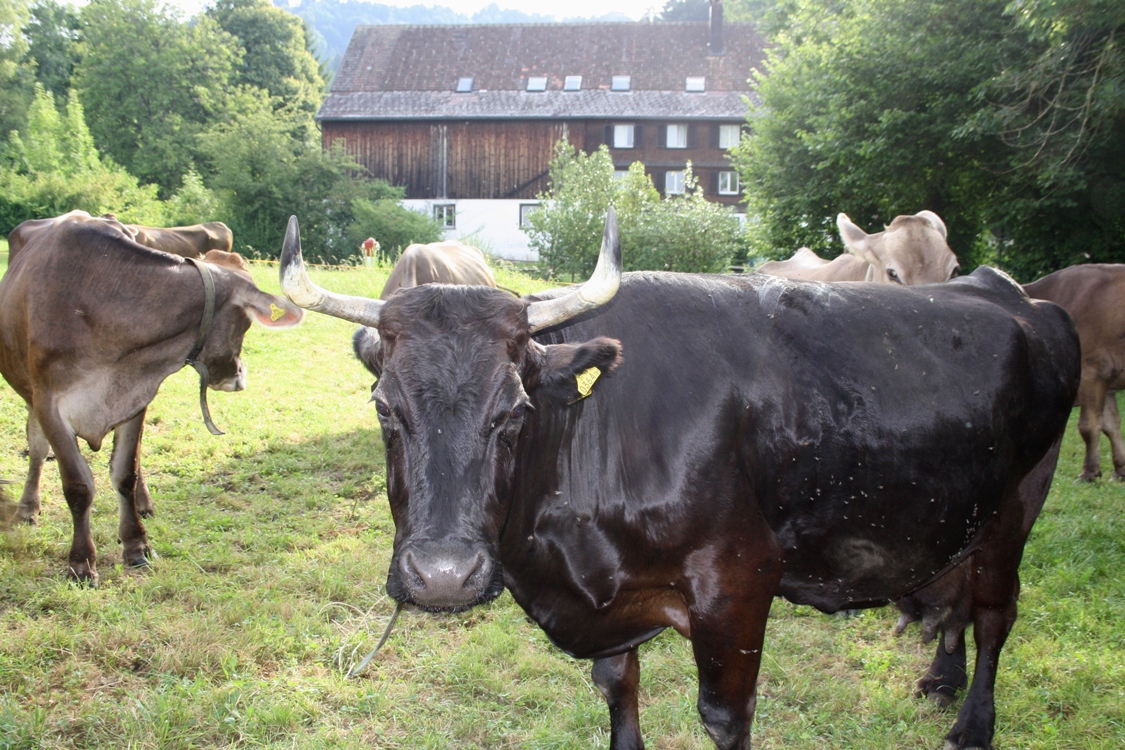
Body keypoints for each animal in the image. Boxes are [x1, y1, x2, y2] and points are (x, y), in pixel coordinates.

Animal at [0, 211, 303, 582]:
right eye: (245, 323)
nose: (239, 375)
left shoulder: (135, 399)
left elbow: (125, 473)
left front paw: (136, 546)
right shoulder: (49, 404)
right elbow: (77, 485)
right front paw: (81, 562)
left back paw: (143, 504)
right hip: (27, 389)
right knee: (37, 448)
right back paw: (28, 507)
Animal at [1024, 264, 1125, 481]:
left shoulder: (1093, 371)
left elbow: (1089, 426)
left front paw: (1089, 472)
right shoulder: (1107, 381)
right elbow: (1111, 425)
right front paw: (1120, 469)